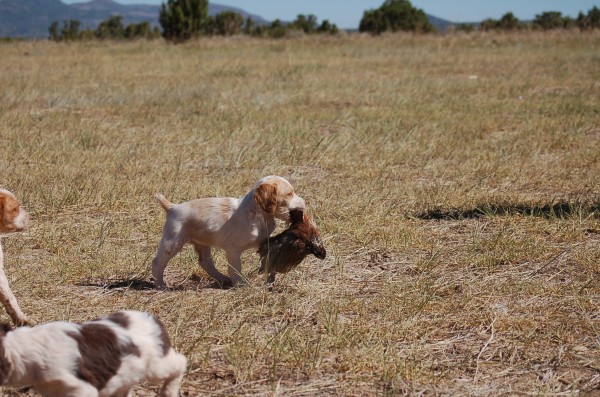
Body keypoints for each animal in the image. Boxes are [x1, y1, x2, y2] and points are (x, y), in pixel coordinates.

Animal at [152, 175, 308, 286]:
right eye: (289, 194)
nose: (305, 203)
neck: (257, 214)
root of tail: (172, 207)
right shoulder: (234, 250)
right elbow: (235, 268)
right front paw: (240, 284)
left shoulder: (263, 241)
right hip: (173, 242)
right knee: (157, 262)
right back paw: (160, 284)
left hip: (202, 244)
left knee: (205, 263)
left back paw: (222, 278)